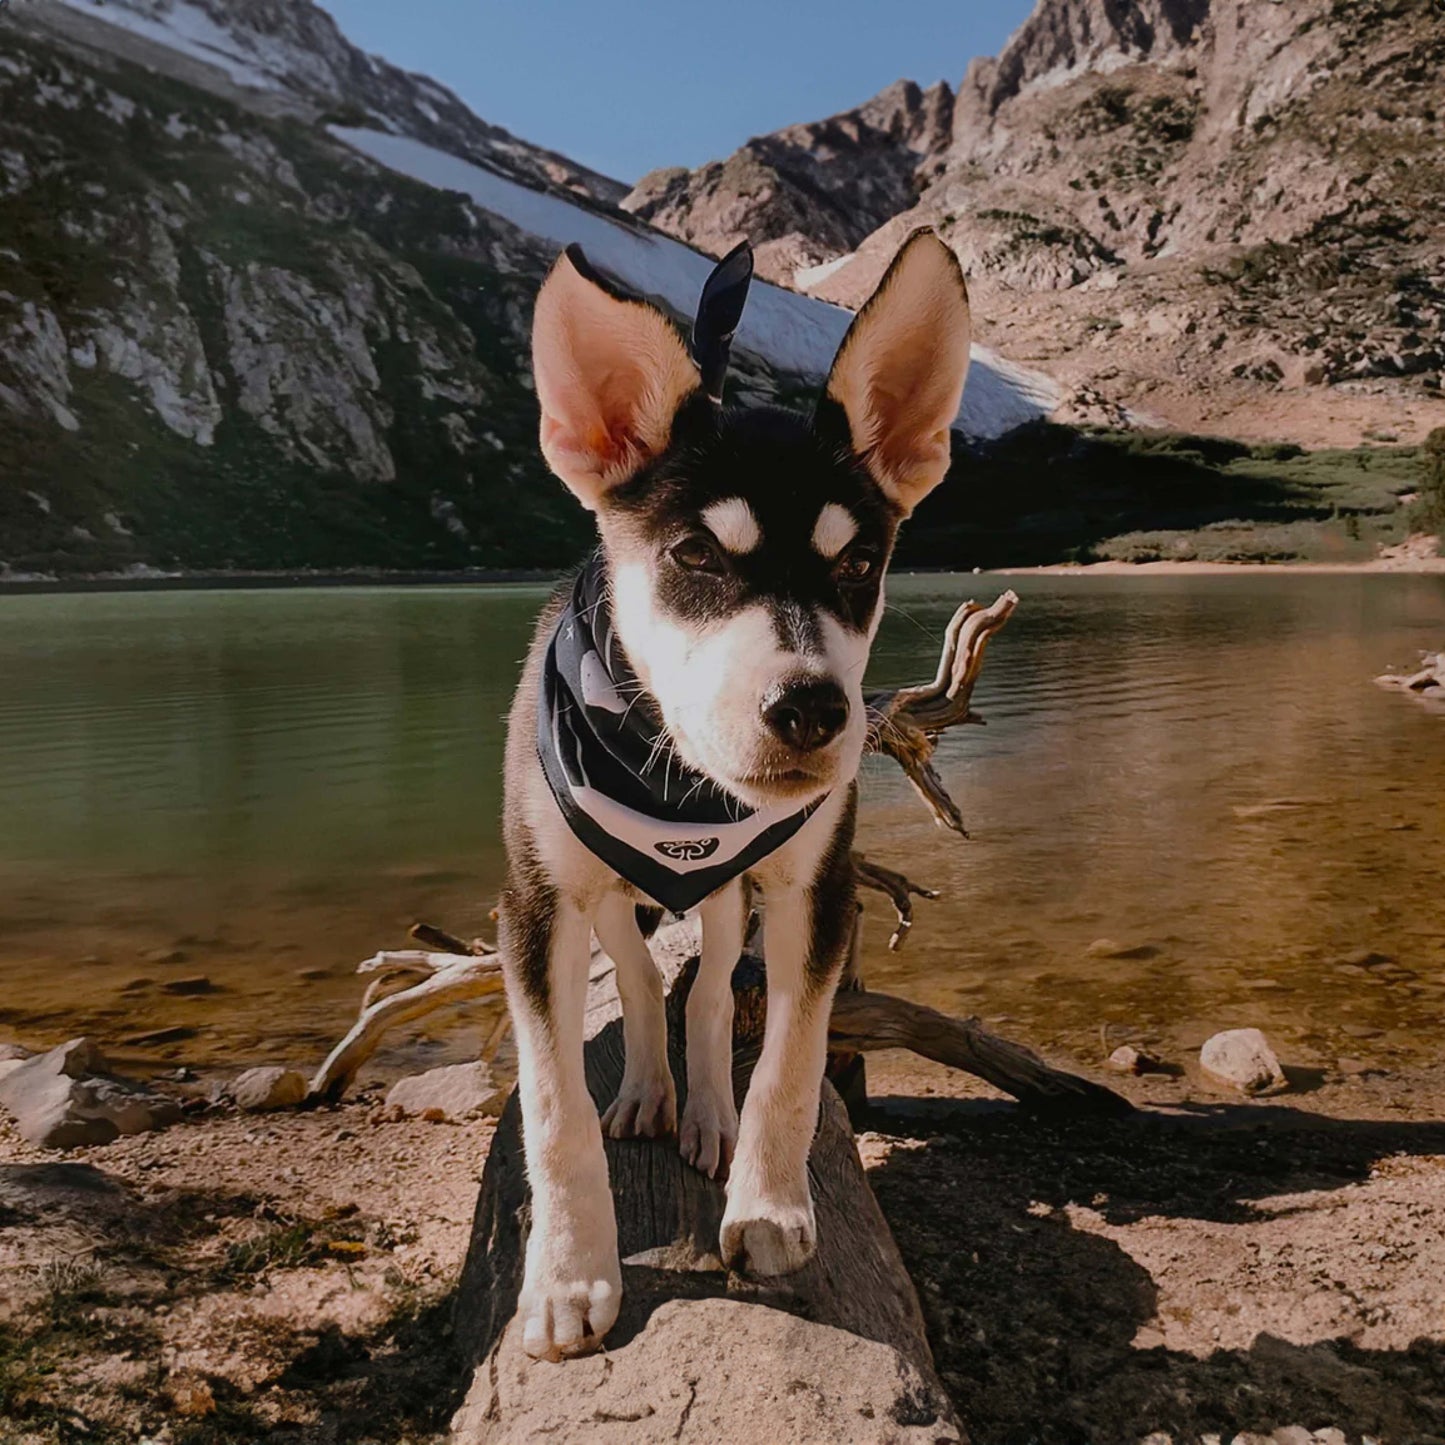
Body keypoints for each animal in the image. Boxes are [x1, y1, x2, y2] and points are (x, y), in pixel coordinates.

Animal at [497, 225, 971, 1352]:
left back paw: (707, 1107)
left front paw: (768, 1209)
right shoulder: (535, 903)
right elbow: (551, 1103)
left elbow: (791, 1061)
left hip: (726, 894)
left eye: (862, 563)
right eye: (694, 553)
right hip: (603, 888)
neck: (678, 782)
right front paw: (567, 1278)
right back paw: (650, 1091)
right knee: (636, 970)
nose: (811, 710)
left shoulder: (816, 889)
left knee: (711, 987)